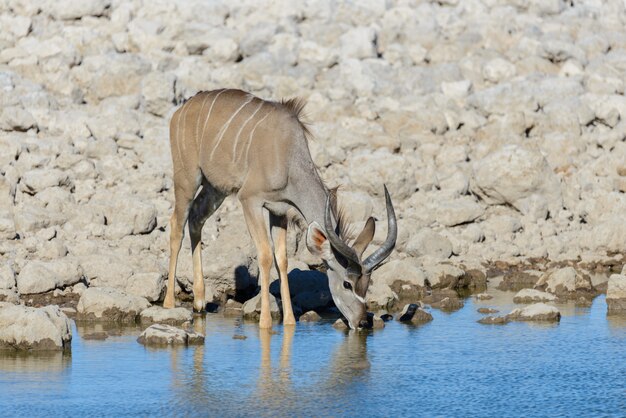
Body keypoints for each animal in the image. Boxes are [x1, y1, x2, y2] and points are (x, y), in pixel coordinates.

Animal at [165, 89, 394, 330]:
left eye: (367, 283)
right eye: (347, 283)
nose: (362, 322)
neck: (288, 156)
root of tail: (182, 109)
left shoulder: (279, 211)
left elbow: (281, 259)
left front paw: (290, 321)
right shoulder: (250, 200)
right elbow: (265, 254)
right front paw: (265, 322)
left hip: (216, 188)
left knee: (195, 219)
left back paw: (199, 302)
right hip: (187, 178)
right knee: (176, 226)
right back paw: (169, 303)